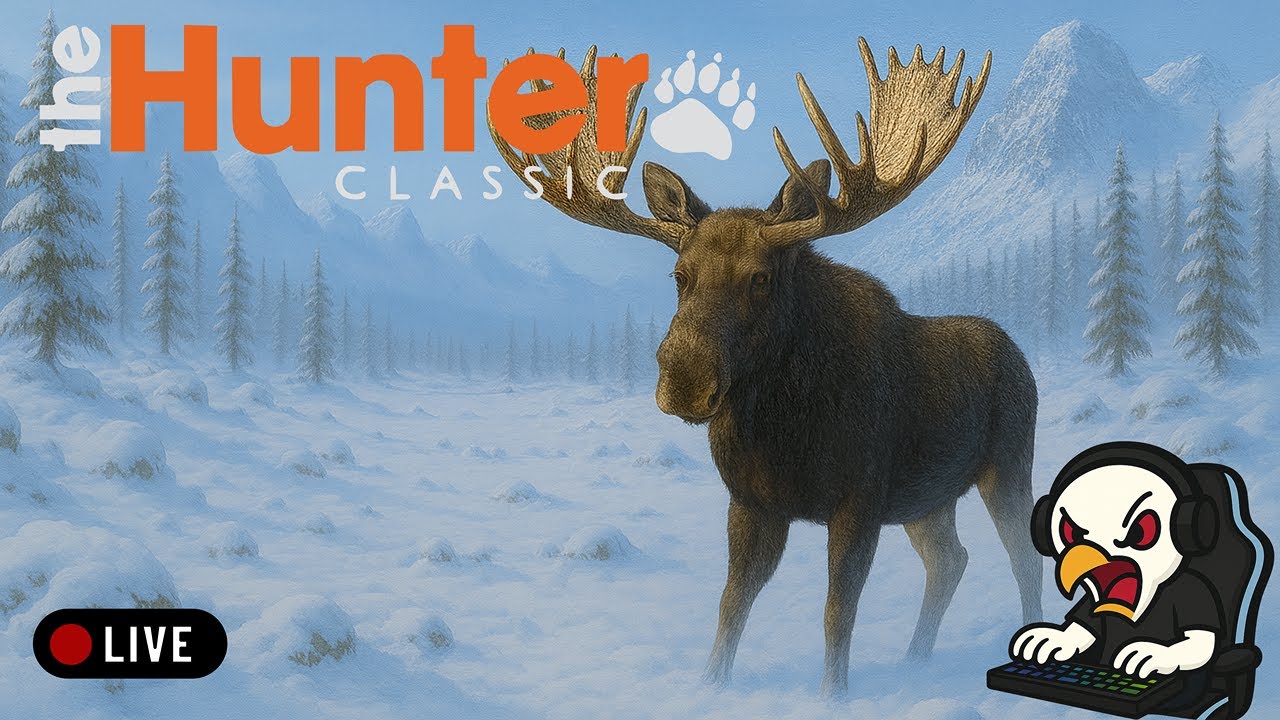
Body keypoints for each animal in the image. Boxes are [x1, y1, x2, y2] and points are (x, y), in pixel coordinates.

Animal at [488, 39, 1042, 697]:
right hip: (926, 498)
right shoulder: (752, 502)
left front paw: (834, 697)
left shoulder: (859, 498)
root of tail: (1022, 357)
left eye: (760, 277)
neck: (782, 429)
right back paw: (915, 660)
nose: (685, 380)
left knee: (1023, 558)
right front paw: (709, 686)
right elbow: (732, 603)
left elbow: (837, 613)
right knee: (950, 560)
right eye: (680, 274)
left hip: (1007, 463)